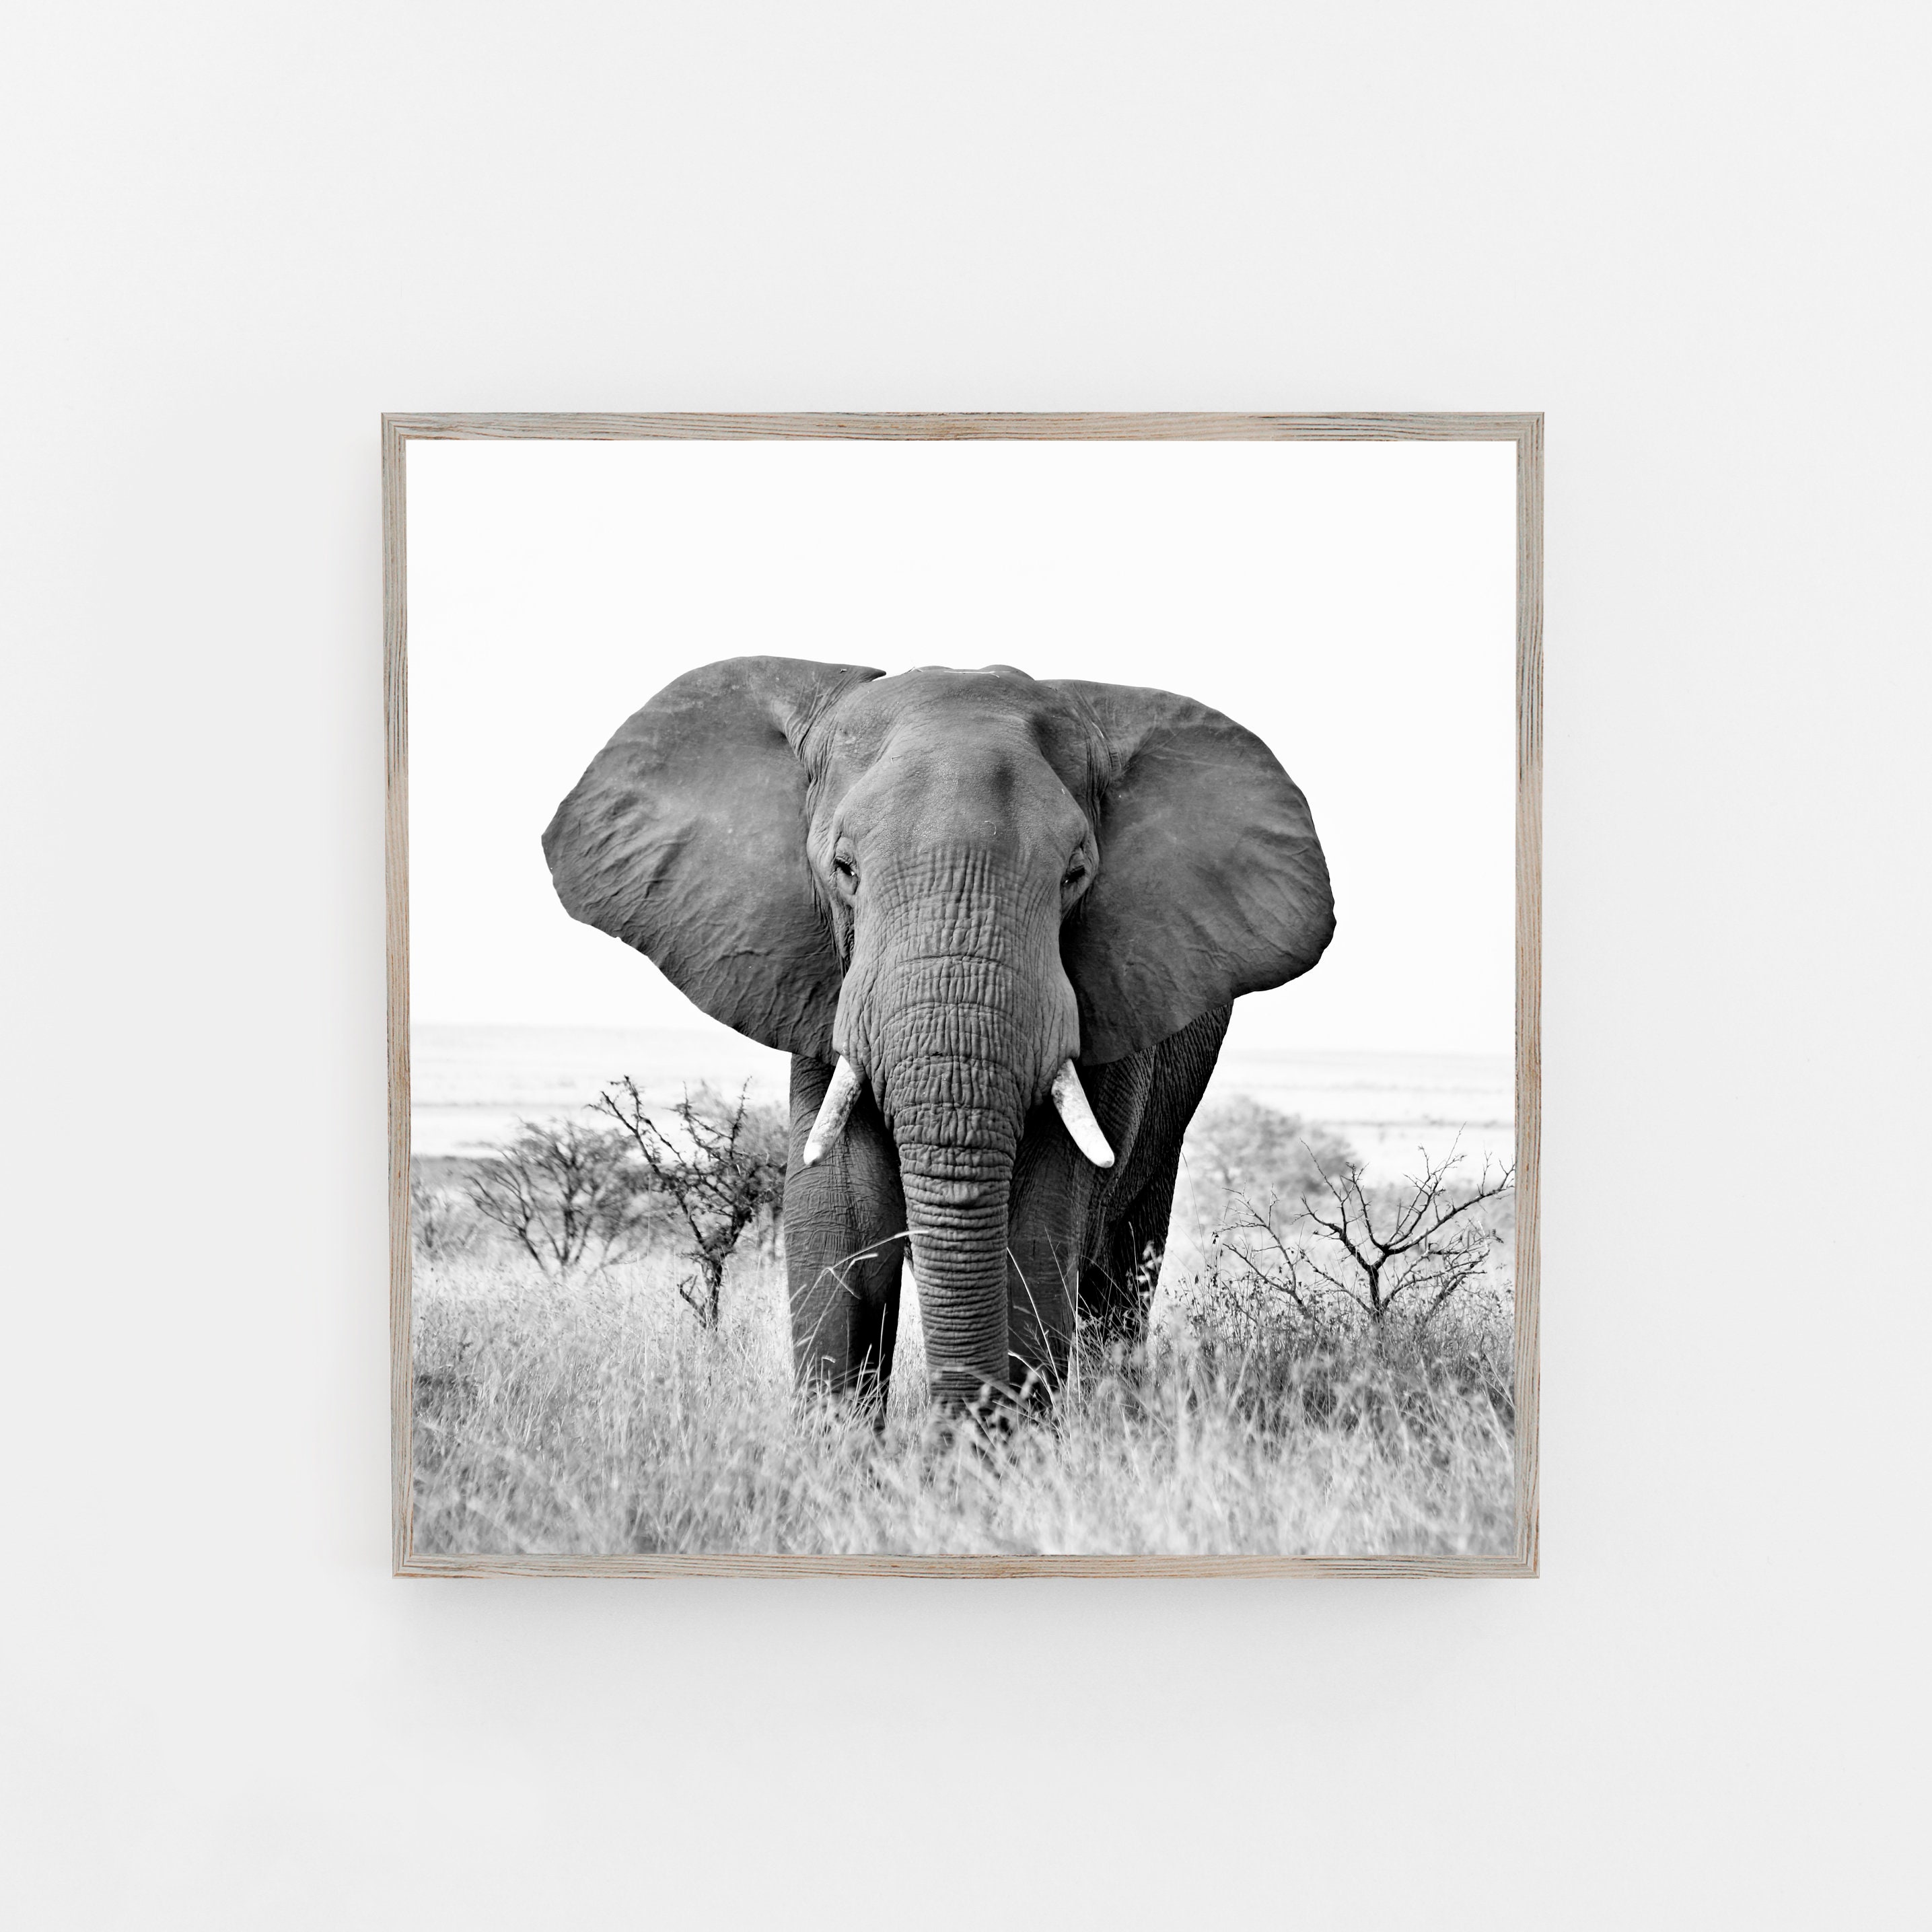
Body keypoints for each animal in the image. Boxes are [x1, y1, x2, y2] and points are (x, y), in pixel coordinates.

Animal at [542, 657, 1334, 1417]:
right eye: (844, 869)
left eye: (1075, 875)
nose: (955, 1433)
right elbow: (840, 1224)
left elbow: (1033, 1235)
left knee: (1121, 1276)